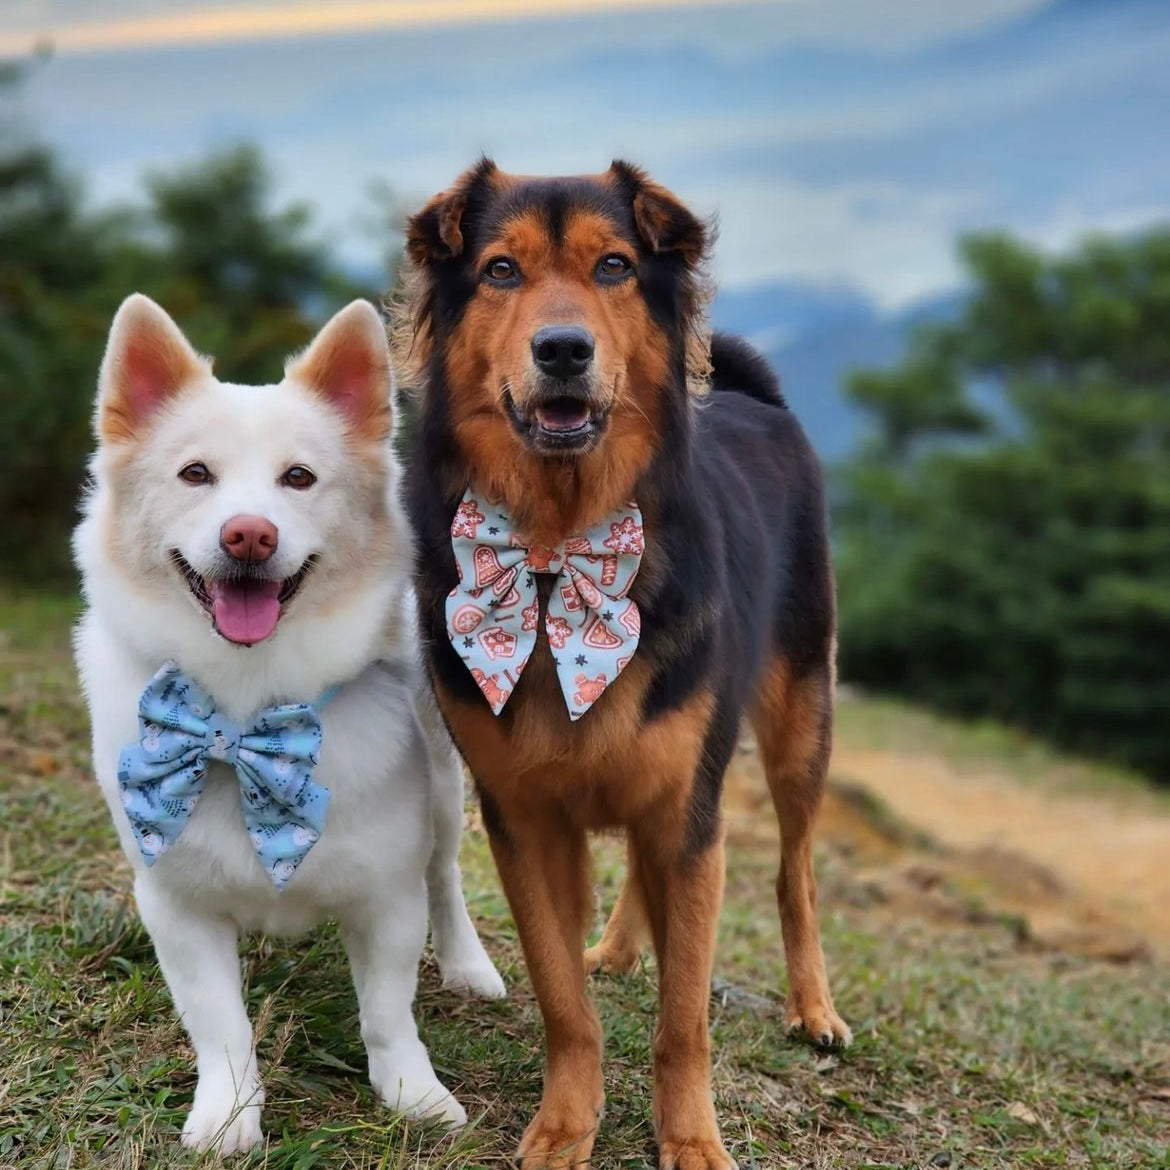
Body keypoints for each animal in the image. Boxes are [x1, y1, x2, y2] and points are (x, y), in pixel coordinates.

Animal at [73, 292, 503, 1151]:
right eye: (195, 475)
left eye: (298, 479)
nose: (249, 533)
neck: (247, 714)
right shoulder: (177, 907)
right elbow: (221, 1024)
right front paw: (229, 1112)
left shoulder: (387, 897)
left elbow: (388, 1013)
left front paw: (412, 1093)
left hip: (443, 792)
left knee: (445, 877)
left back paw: (468, 965)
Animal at [395, 162, 851, 1170]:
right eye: (499, 270)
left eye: (613, 266)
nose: (563, 350)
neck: (558, 544)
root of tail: (759, 400)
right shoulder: (524, 819)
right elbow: (565, 1001)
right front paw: (568, 1122)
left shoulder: (689, 810)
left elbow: (684, 1019)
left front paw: (691, 1139)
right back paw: (617, 949)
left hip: (800, 718)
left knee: (796, 872)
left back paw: (814, 1007)